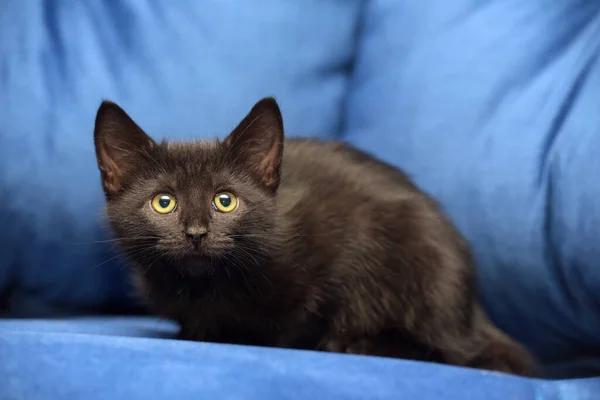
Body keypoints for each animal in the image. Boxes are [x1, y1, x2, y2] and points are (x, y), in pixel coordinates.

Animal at [95, 97, 540, 376]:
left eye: (225, 201)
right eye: (163, 202)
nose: (196, 233)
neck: (205, 285)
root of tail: (472, 313)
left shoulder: (338, 248)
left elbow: (297, 320)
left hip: (428, 269)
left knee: (455, 352)